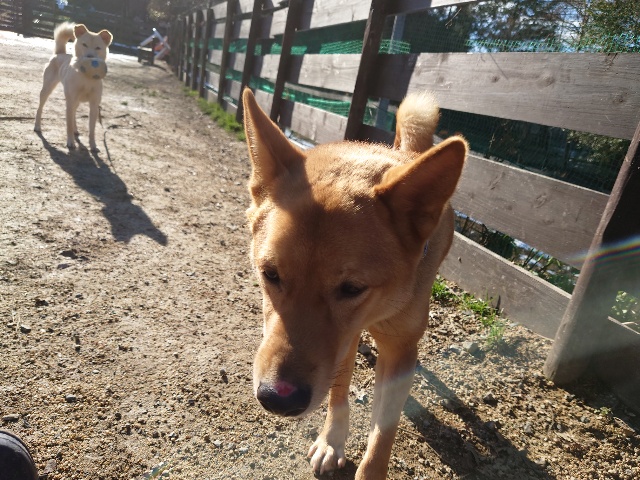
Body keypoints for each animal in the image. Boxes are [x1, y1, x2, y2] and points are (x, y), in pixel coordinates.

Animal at [34, 22, 113, 152]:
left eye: (98, 47)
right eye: (84, 44)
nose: (90, 57)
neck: (86, 77)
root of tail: (59, 54)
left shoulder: (94, 105)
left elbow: (92, 129)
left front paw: (93, 145)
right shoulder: (70, 101)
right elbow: (69, 124)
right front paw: (70, 142)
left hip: (77, 101)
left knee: (74, 114)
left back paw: (76, 130)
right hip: (47, 89)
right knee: (40, 108)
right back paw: (37, 126)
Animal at [242, 88, 467, 479]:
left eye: (352, 289)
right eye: (269, 274)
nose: (277, 399)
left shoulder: (398, 351)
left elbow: (382, 435)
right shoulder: (342, 345)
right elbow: (338, 393)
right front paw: (332, 442)